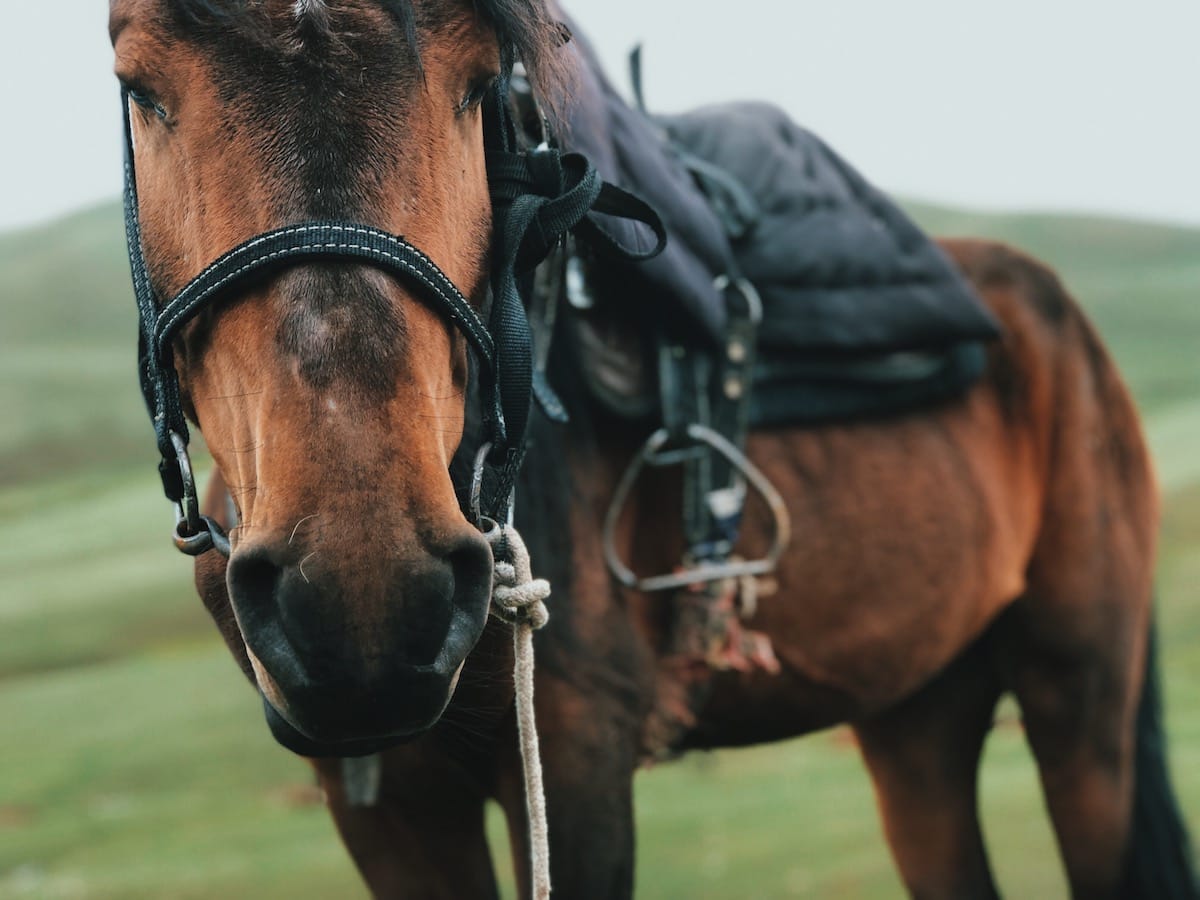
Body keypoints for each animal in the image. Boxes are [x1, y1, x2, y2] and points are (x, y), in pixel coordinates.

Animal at [108, 1, 1195, 900]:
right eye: (139, 88)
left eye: (477, 84)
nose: (363, 595)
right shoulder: (384, 802)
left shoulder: (576, 756)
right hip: (916, 708)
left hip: (1080, 705)